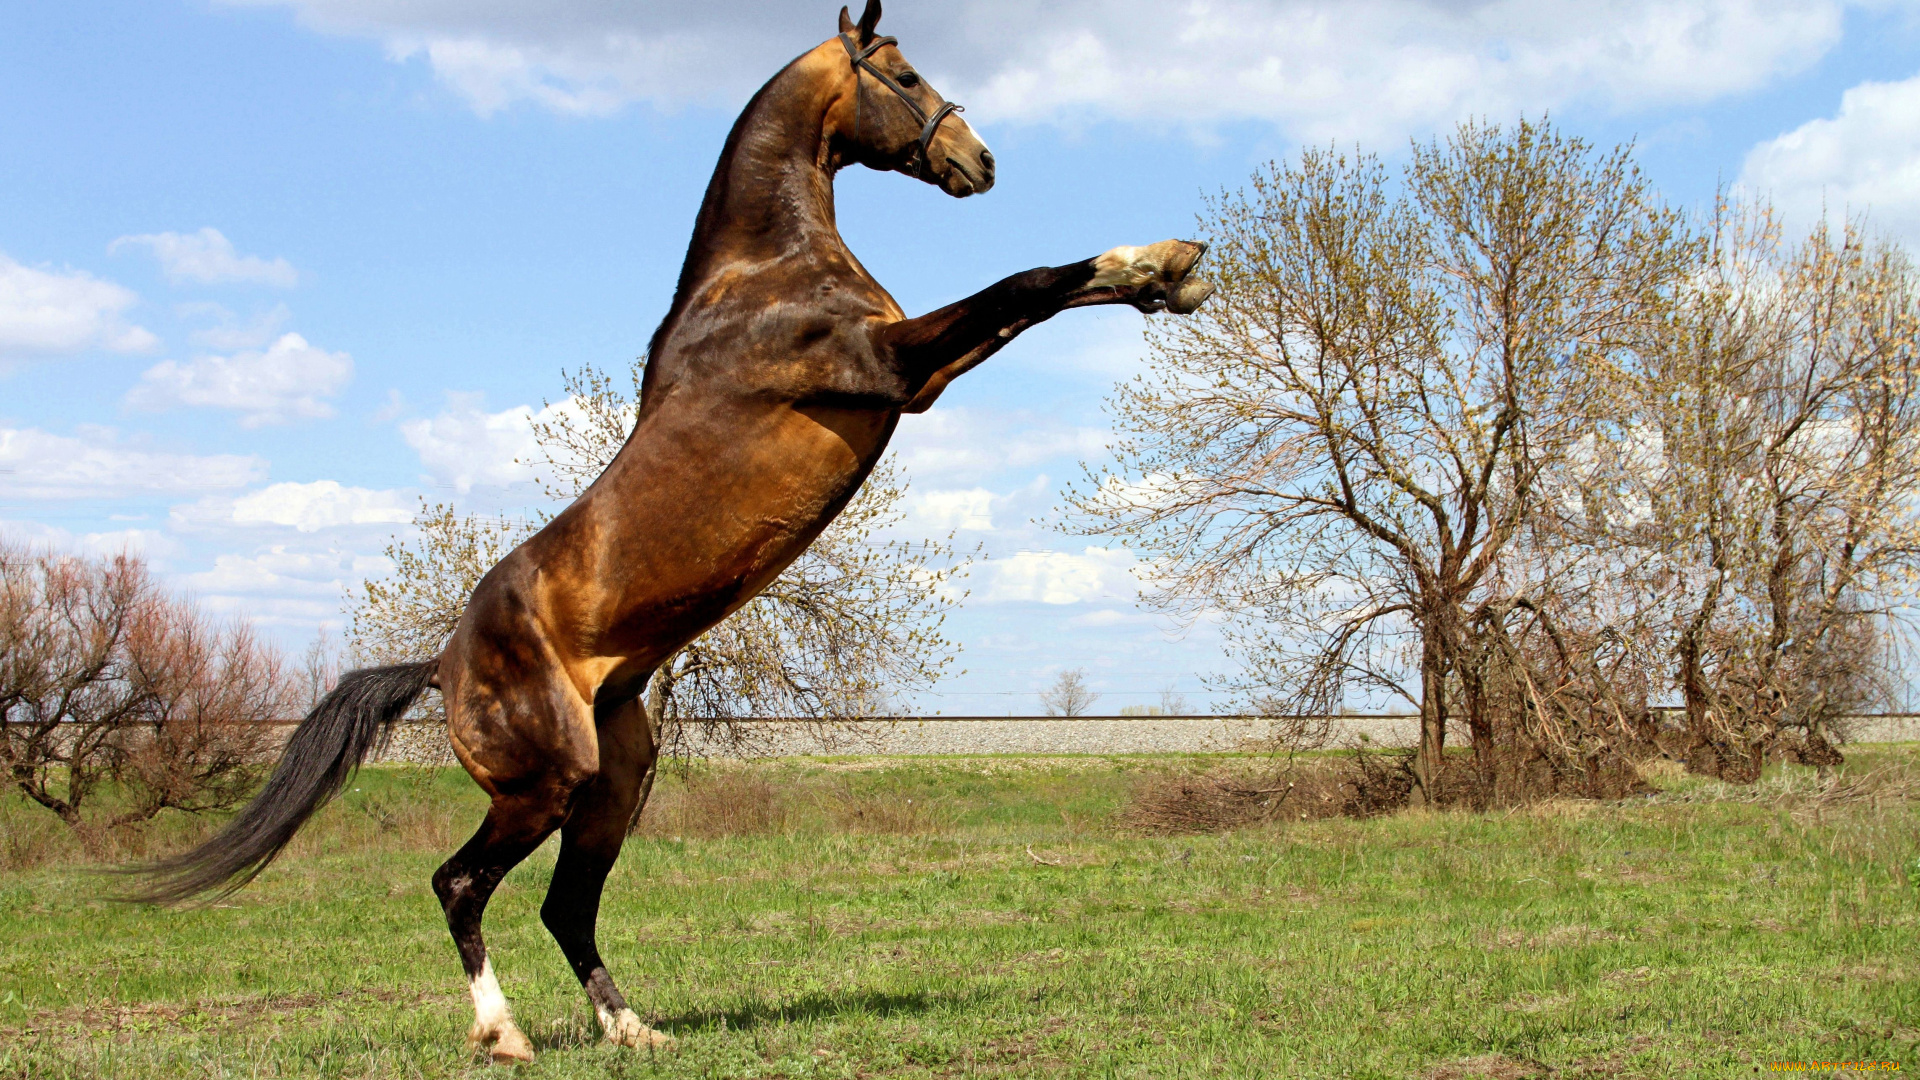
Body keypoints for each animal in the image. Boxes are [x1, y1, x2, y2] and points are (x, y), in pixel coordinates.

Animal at [142, 0, 1205, 1060]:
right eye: (903, 76)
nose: (979, 161)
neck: (763, 275)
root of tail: (441, 665)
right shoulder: (891, 367)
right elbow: (1026, 284)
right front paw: (1159, 264)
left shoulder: (922, 379)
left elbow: (1033, 300)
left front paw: (1168, 276)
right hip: (545, 782)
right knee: (460, 884)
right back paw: (505, 1035)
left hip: (615, 783)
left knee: (566, 906)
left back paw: (632, 1029)